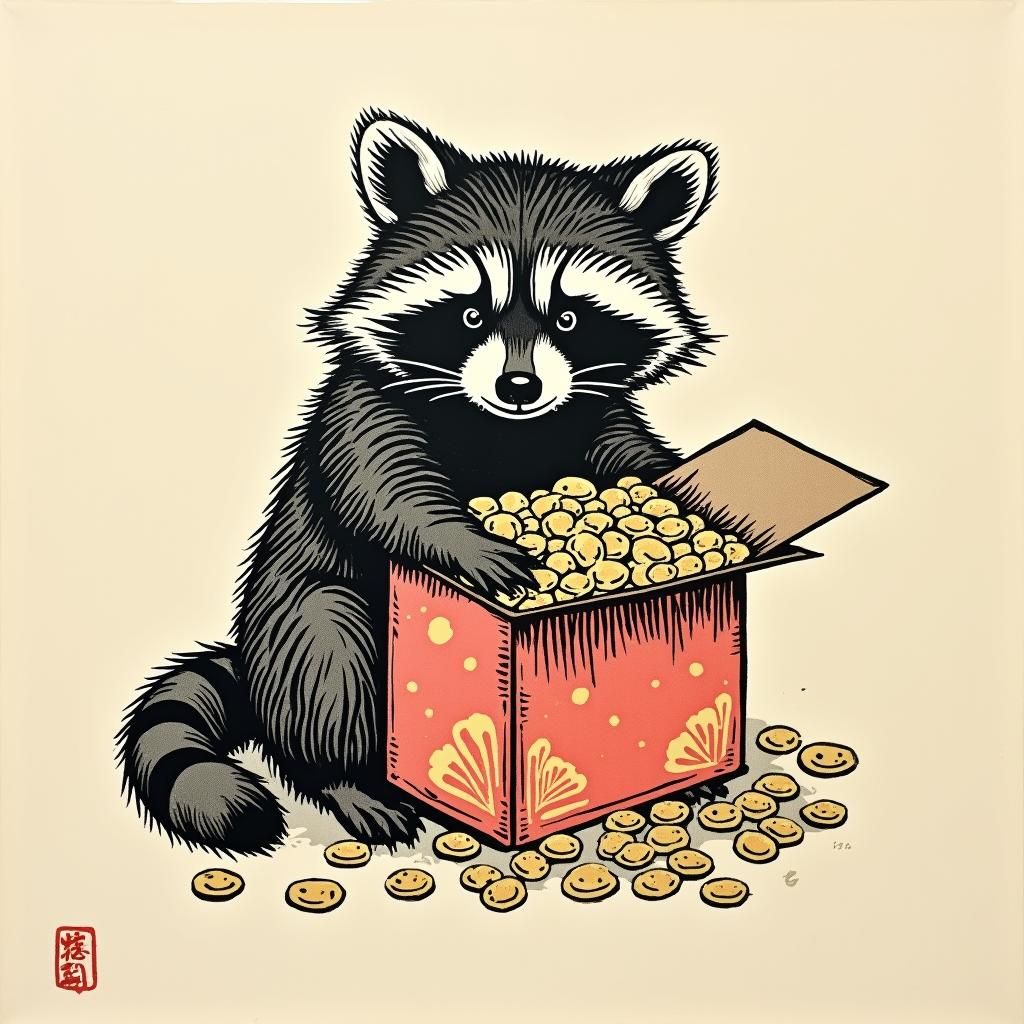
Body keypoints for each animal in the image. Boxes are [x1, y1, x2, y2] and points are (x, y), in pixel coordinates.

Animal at [115, 110, 721, 855]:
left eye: (569, 317)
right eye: (471, 315)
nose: (519, 386)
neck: (505, 427)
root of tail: (254, 667)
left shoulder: (590, 409)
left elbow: (624, 450)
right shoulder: (365, 402)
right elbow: (381, 487)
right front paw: (466, 541)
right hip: (302, 631)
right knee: (331, 657)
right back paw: (347, 780)